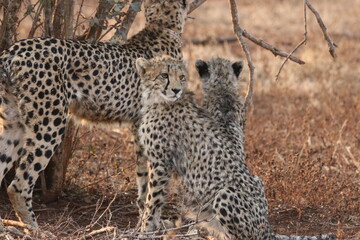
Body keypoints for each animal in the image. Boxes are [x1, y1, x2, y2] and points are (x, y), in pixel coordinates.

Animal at [0, 0, 190, 227]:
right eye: (165, 76)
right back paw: (35, 229)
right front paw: (153, 223)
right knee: (18, 185)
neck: (161, 25)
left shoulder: (139, 126)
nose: (176, 89)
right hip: (49, 125)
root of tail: (13, 49)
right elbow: (156, 184)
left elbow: (144, 176)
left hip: (14, 124)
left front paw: (145, 216)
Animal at [136, 55, 272, 238]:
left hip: (224, 195)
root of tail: (266, 229)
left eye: (181, 77)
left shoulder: (160, 164)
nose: (176, 90)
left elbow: (152, 200)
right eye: (164, 75)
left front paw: (145, 229)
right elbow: (156, 202)